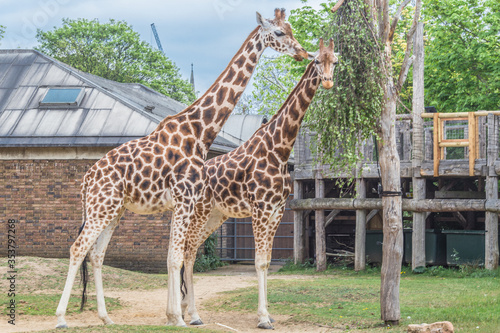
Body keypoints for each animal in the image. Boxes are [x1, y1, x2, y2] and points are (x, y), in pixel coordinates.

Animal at [54, 9, 308, 328]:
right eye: (278, 33)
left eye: (291, 28)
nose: (302, 52)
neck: (200, 131)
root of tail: (87, 179)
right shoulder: (185, 199)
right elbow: (176, 257)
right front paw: (178, 317)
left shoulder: (181, 203)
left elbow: (172, 256)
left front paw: (176, 314)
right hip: (102, 208)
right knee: (77, 248)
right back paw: (61, 318)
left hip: (113, 210)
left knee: (97, 253)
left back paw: (106, 318)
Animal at [182, 38, 338, 326]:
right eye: (316, 60)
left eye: (334, 61)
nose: (328, 82)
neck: (280, 149)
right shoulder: (260, 209)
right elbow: (257, 262)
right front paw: (263, 318)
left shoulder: (276, 211)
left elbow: (266, 262)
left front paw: (268, 314)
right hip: (200, 212)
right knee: (187, 251)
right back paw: (194, 315)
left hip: (215, 216)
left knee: (191, 249)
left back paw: (187, 308)